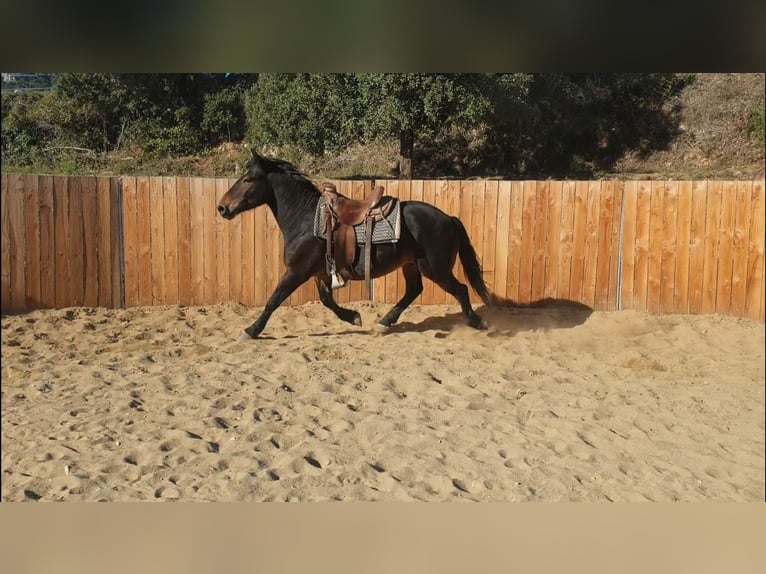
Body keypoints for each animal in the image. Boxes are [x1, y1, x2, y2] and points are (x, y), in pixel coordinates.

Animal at [217, 150, 491, 338]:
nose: (222, 207)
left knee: (460, 290)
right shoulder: (319, 273)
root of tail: (449, 218)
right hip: (411, 265)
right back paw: (385, 322)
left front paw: (252, 330)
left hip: (436, 268)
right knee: (414, 290)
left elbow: (274, 299)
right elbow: (327, 301)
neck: (306, 219)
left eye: (249, 179)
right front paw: (354, 317)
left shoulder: (296, 271)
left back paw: (477, 322)